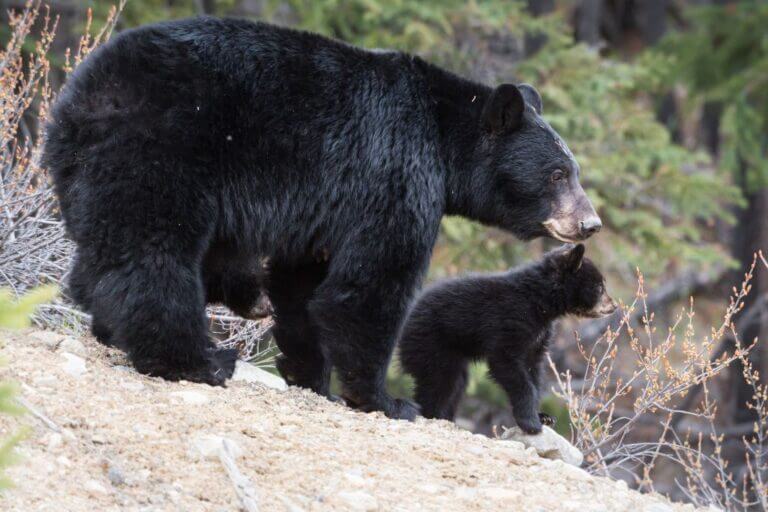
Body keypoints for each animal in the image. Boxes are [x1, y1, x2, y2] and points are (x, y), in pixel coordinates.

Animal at [43, 17, 601, 420]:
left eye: (573, 170)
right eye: (557, 175)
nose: (590, 223)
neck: (444, 140)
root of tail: (83, 94)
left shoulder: (325, 208)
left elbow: (303, 284)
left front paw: (312, 377)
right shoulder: (394, 172)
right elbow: (371, 285)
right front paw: (385, 400)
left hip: (96, 168)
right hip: (163, 149)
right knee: (153, 251)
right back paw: (197, 360)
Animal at [398, 244, 616, 432]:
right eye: (599, 287)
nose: (614, 306)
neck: (540, 302)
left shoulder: (539, 335)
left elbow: (533, 369)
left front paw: (543, 416)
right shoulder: (509, 320)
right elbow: (507, 363)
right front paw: (530, 422)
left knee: (456, 385)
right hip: (431, 344)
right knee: (439, 383)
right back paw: (433, 415)